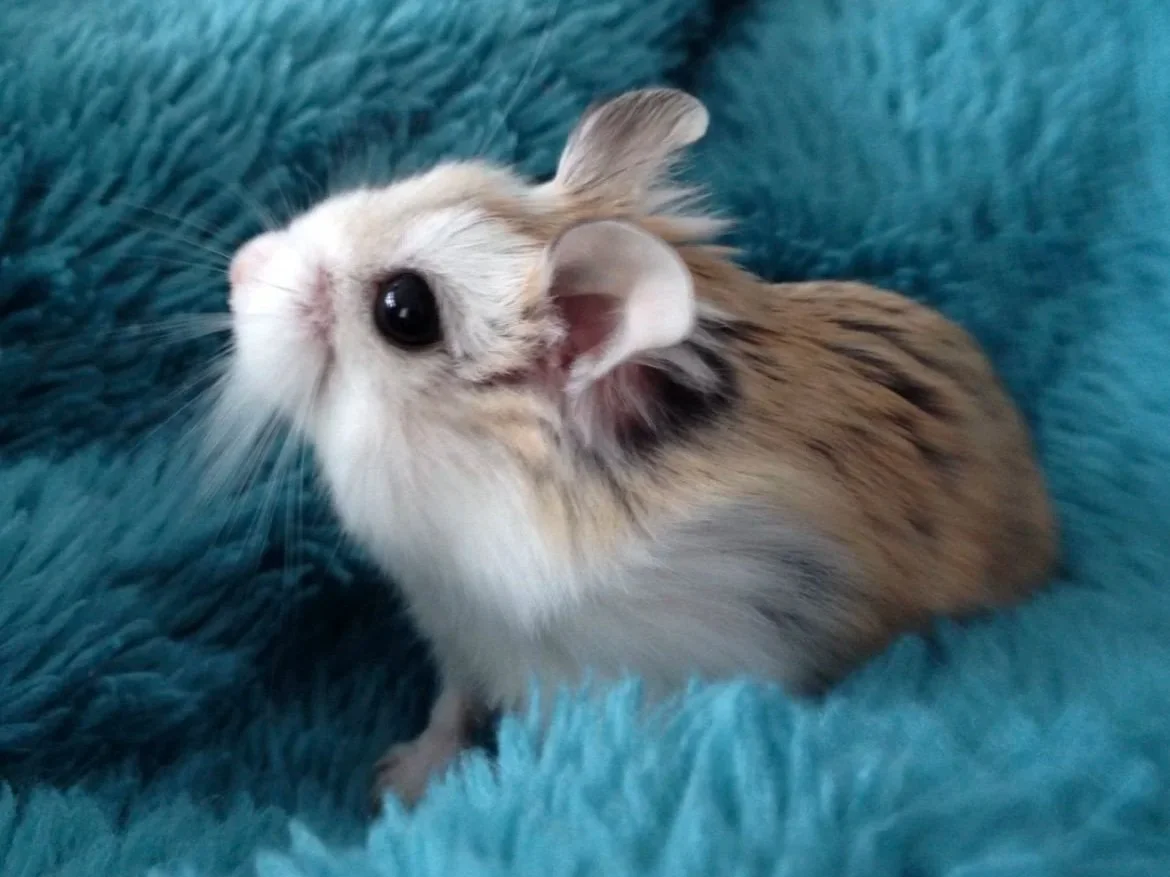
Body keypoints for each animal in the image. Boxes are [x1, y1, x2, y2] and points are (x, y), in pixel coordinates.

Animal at [221, 88, 1057, 808]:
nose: (238, 265)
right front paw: (394, 783)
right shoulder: (458, 632)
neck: (480, 490)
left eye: (404, 310)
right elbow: (450, 710)